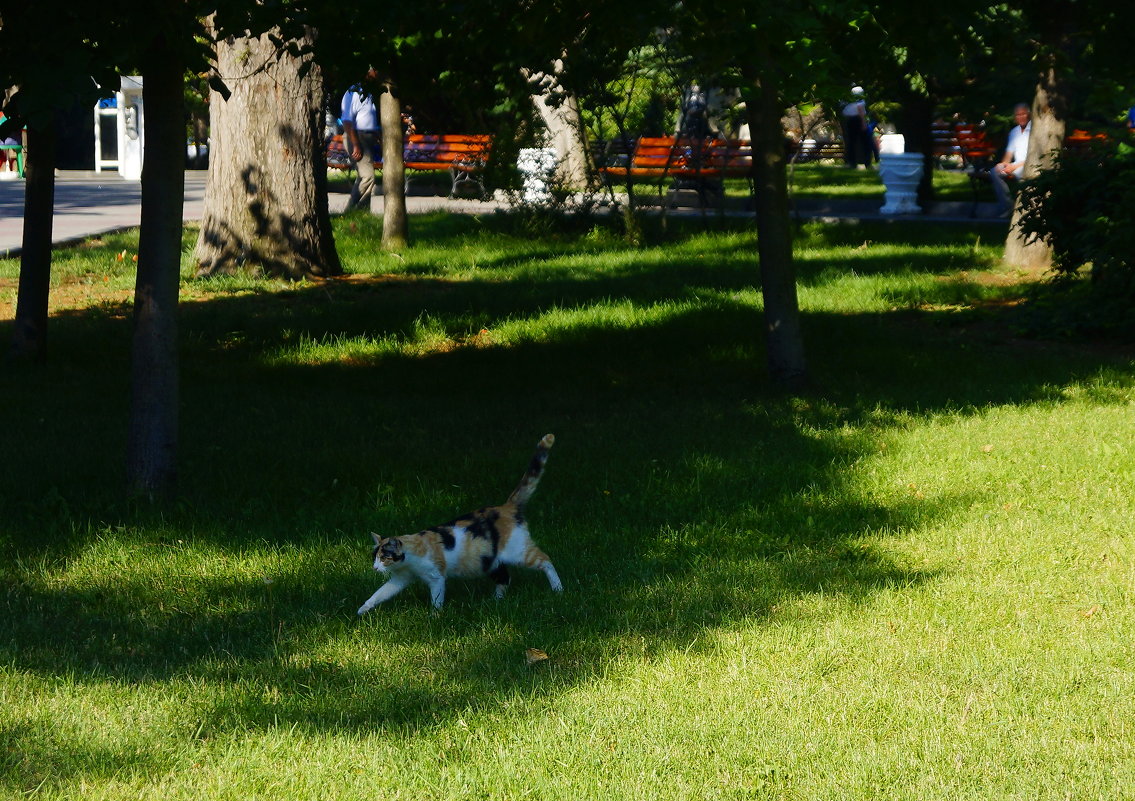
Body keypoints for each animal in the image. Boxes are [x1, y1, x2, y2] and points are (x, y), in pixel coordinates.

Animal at [358, 431, 562, 612]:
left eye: (384, 557)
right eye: (374, 557)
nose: (375, 568)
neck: (408, 559)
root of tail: (507, 507)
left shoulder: (436, 577)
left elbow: (437, 598)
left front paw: (435, 616)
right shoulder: (401, 578)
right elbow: (381, 593)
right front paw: (363, 608)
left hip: (518, 552)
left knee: (546, 560)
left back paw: (558, 589)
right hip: (489, 559)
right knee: (505, 577)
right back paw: (495, 601)